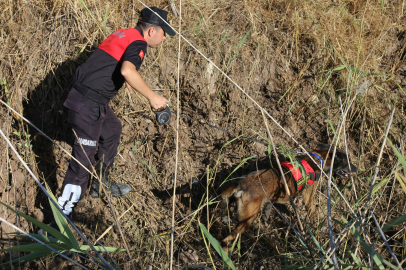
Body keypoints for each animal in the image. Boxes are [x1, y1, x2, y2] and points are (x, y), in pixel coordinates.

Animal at [220, 144, 356, 246]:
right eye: (348, 162)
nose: (356, 169)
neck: (319, 159)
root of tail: (242, 187)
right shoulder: (308, 198)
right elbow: (311, 211)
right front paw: (314, 227)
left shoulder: (270, 200)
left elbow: (266, 212)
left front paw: (265, 223)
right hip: (248, 220)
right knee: (228, 238)